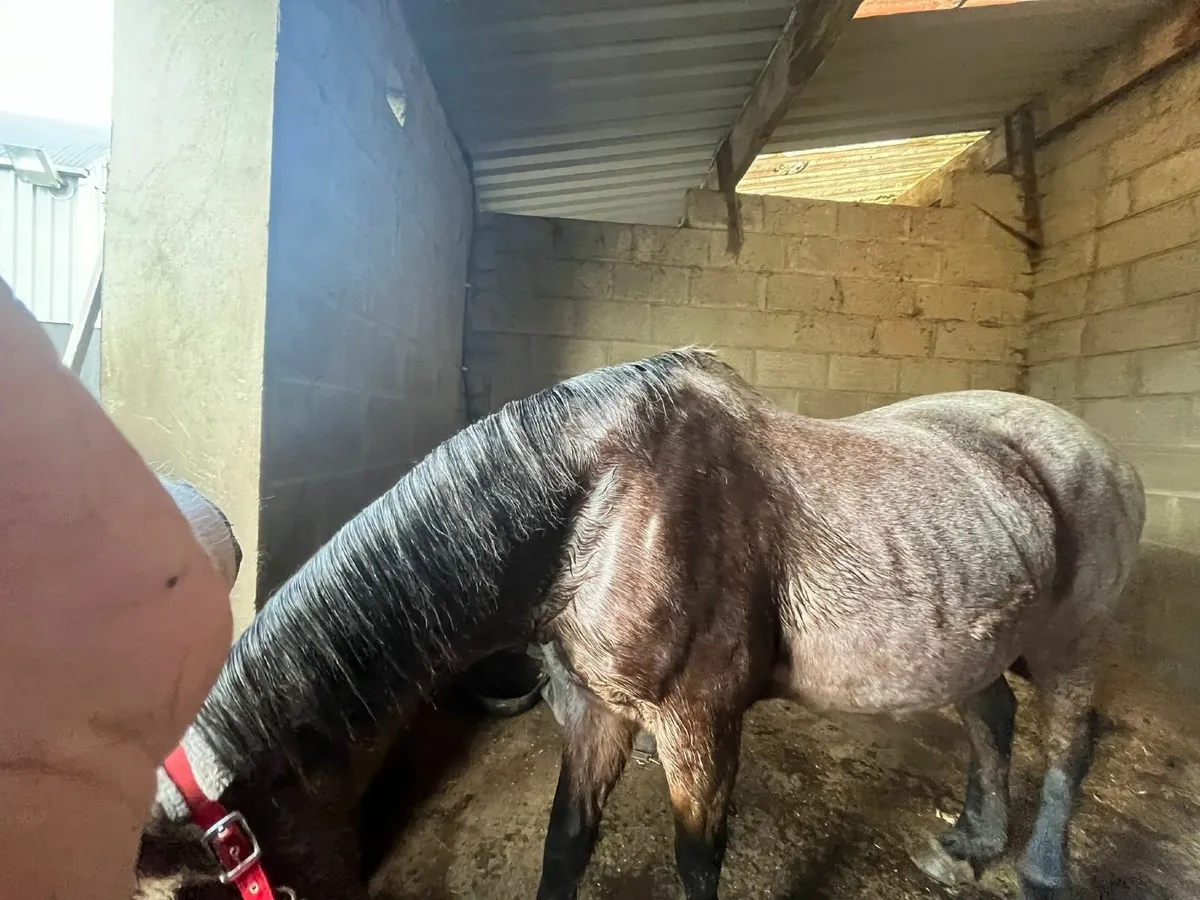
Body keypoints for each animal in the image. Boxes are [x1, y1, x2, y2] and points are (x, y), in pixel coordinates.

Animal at [134, 348, 1145, 900]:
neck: (602, 502)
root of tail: (1107, 454)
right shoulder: (594, 713)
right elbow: (565, 847)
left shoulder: (699, 726)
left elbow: (696, 865)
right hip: (979, 642)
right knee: (993, 720)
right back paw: (970, 842)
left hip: (1070, 640)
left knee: (1071, 743)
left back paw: (1039, 870)